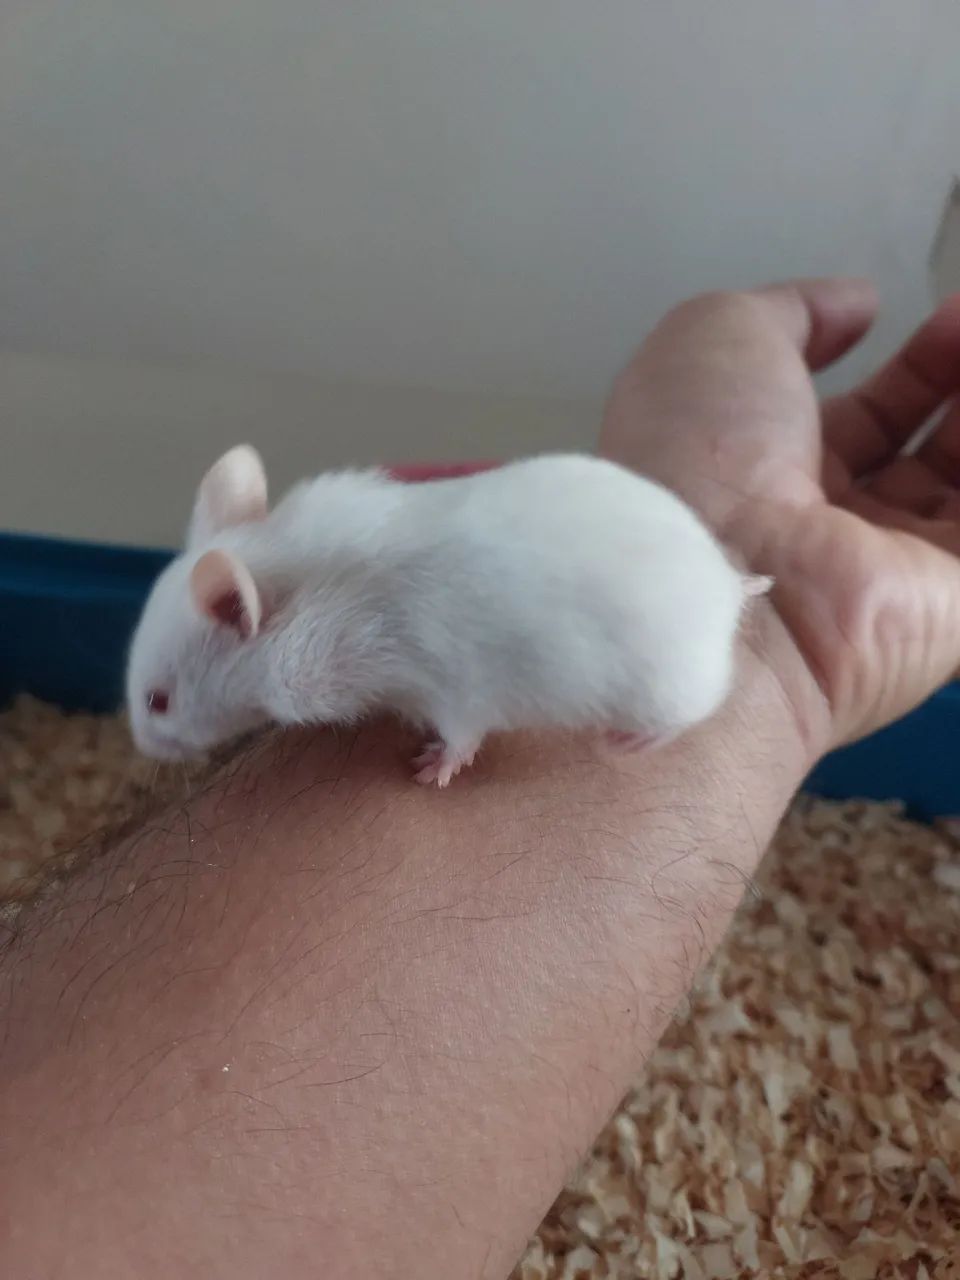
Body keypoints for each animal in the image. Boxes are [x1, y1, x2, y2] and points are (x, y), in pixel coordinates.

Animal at [125, 446, 769, 785]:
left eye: (159, 701)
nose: (145, 750)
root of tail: (728, 585)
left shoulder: (452, 689)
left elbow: (462, 737)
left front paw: (428, 772)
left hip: (668, 688)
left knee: (696, 712)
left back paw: (628, 744)